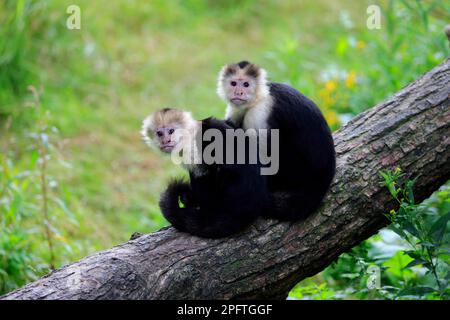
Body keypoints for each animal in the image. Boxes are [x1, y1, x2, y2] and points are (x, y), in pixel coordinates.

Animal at [141, 107, 268, 238]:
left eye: (171, 131)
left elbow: (203, 174)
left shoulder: (191, 149)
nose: (166, 140)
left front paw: (195, 201)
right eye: (159, 133)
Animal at [216, 60, 336, 221]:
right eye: (234, 83)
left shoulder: (259, 113)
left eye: (246, 84)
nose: (238, 92)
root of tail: (325, 174)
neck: (258, 98)